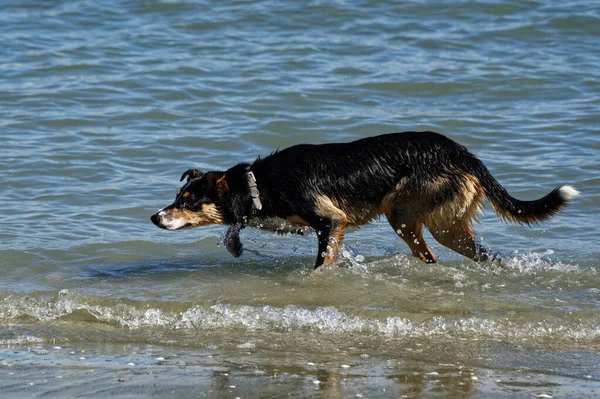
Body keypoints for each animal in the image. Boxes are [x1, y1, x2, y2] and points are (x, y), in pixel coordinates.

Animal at [152, 132, 580, 268]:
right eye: (177, 197)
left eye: (188, 201)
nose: (155, 217)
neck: (260, 184)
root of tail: (459, 151)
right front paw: (235, 243)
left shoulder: (331, 222)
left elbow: (321, 263)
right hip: (439, 224)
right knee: (476, 256)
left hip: (403, 210)